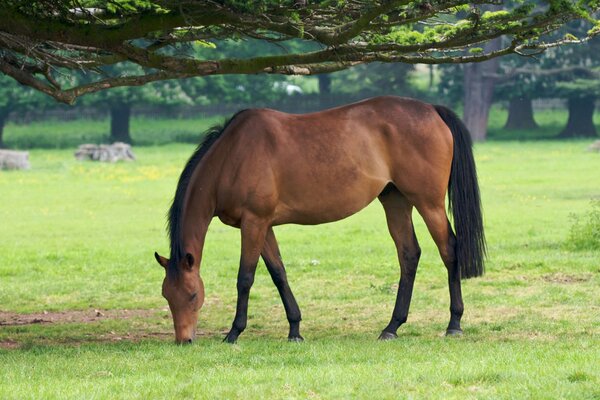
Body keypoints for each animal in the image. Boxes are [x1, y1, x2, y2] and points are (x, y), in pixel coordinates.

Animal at [152, 96, 486, 344]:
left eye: (193, 295)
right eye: (167, 295)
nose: (184, 340)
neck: (232, 156)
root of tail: (432, 109)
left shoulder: (253, 223)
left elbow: (245, 278)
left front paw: (234, 332)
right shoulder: (264, 227)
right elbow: (279, 274)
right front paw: (295, 329)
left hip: (428, 203)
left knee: (449, 250)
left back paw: (454, 323)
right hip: (395, 200)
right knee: (409, 255)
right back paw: (392, 327)